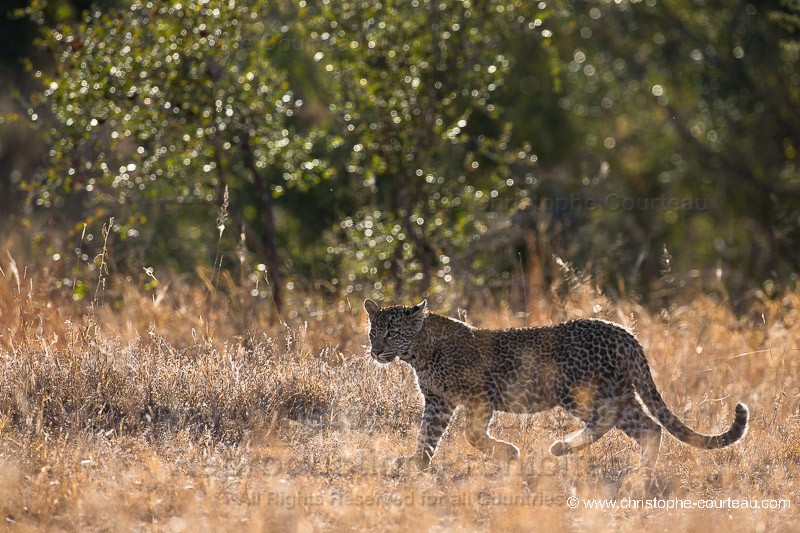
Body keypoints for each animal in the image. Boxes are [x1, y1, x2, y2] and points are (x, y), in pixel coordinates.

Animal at [366, 300, 748, 470]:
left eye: (392, 332)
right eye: (373, 331)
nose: (376, 350)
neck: (418, 351)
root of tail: (626, 335)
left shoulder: (479, 396)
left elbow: (472, 434)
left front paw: (509, 453)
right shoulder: (438, 401)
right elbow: (427, 434)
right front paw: (416, 462)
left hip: (577, 391)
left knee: (611, 420)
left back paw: (564, 447)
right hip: (620, 392)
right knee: (649, 427)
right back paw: (640, 472)